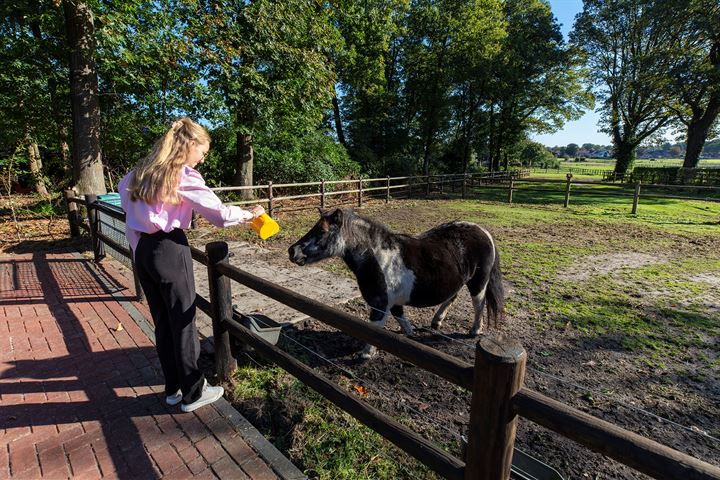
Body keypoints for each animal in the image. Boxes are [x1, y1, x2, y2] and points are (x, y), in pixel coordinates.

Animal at [288, 208, 506, 358]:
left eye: (322, 231)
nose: (292, 251)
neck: (377, 258)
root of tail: (483, 231)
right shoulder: (392, 303)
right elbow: (400, 317)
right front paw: (408, 334)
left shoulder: (380, 304)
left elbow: (374, 329)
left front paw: (366, 354)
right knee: (451, 296)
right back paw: (437, 320)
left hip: (478, 283)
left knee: (479, 304)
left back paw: (475, 330)